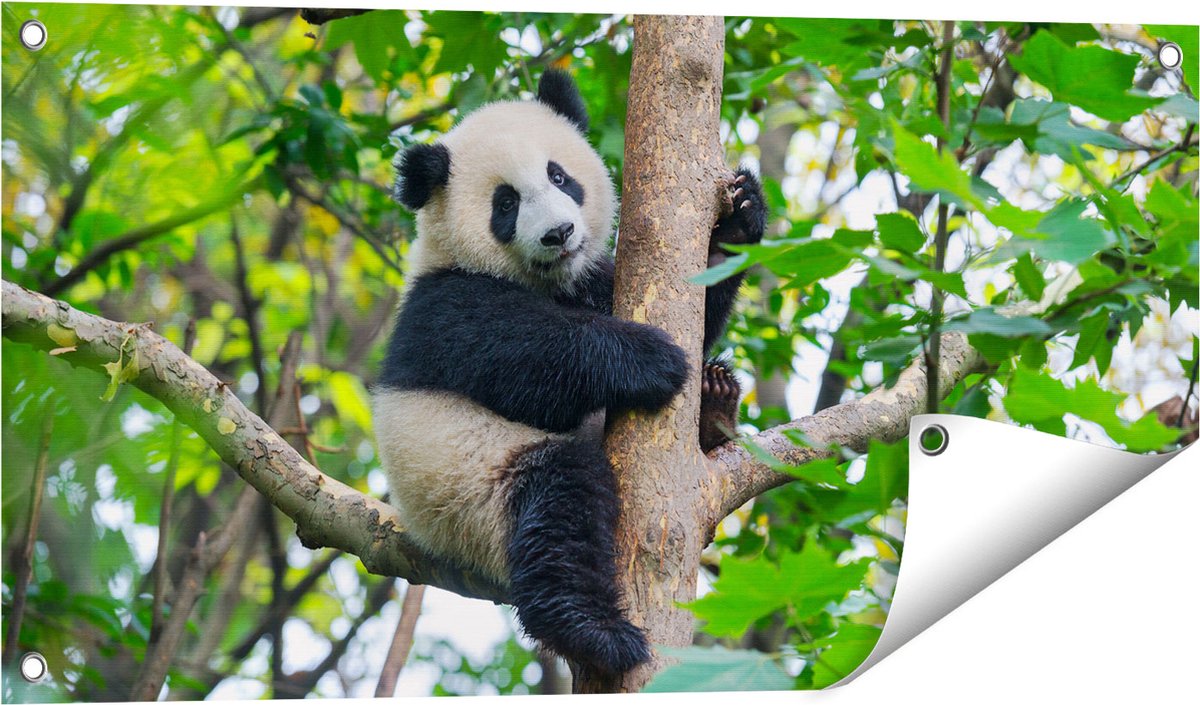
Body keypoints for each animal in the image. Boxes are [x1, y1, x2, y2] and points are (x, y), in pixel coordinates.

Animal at [372, 69, 765, 675]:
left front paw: (740, 217)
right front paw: (651, 359)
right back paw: (594, 631)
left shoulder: (591, 280)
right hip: (471, 491)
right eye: (505, 203)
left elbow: (700, 302)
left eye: (560, 176)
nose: (558, 233)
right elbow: (525, 360)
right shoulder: (443, 307)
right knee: (559, 505)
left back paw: (715, 399)